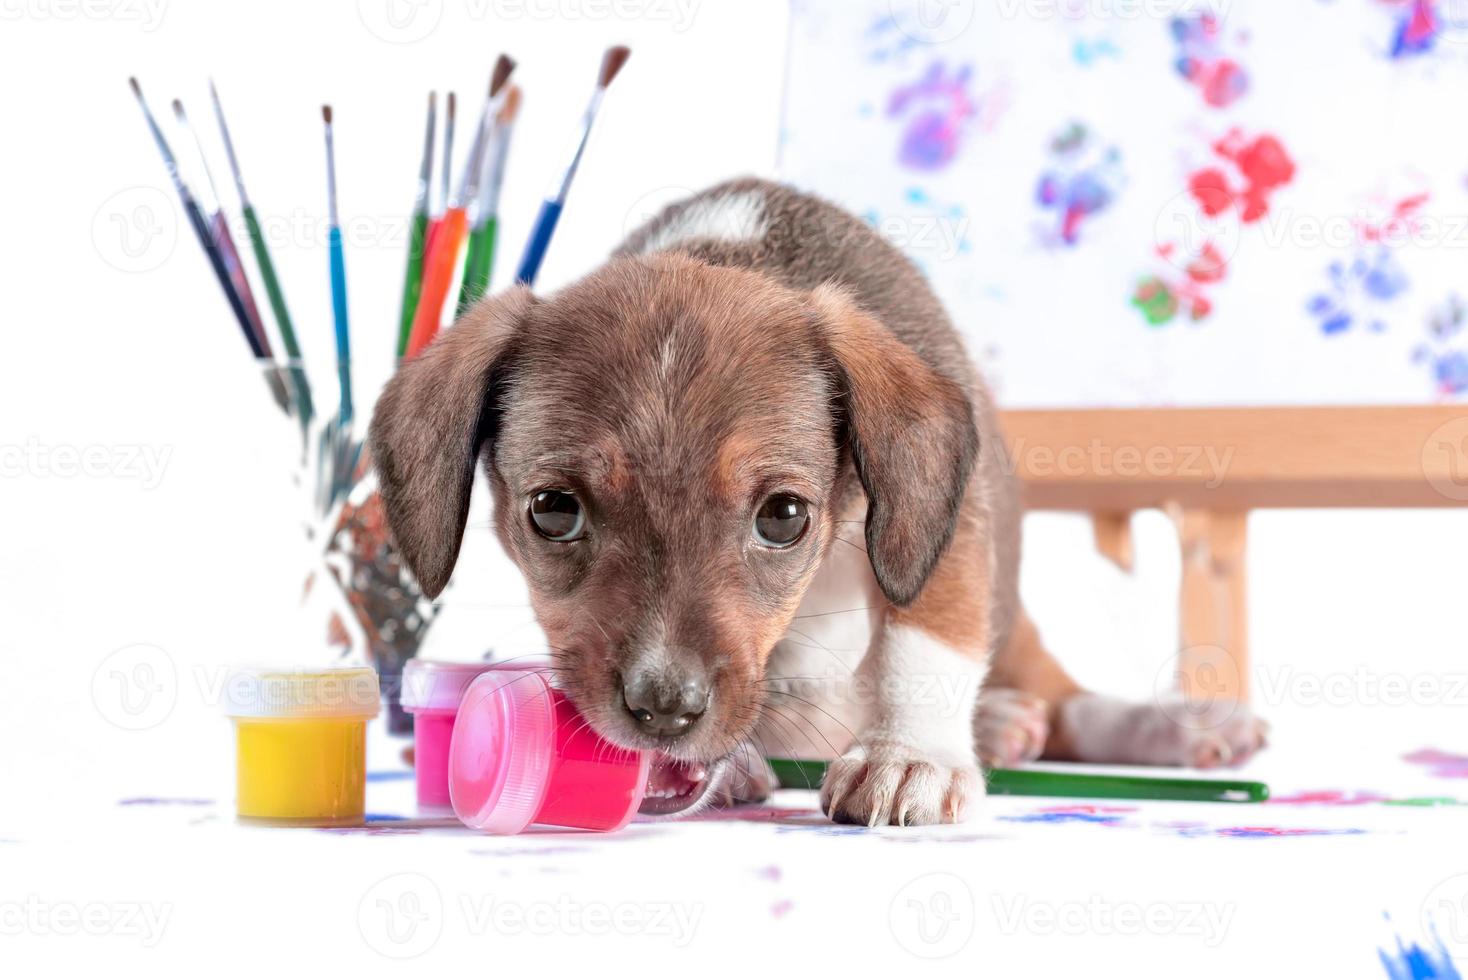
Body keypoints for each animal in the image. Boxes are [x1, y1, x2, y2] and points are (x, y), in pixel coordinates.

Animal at [372, 178, 1268, 827]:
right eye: (552, 510)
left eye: (784, 516)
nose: (664, 711)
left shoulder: (945, 528)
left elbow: (925, 639)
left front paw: (912, 756)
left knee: (1068, 695)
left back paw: (1174, 726)